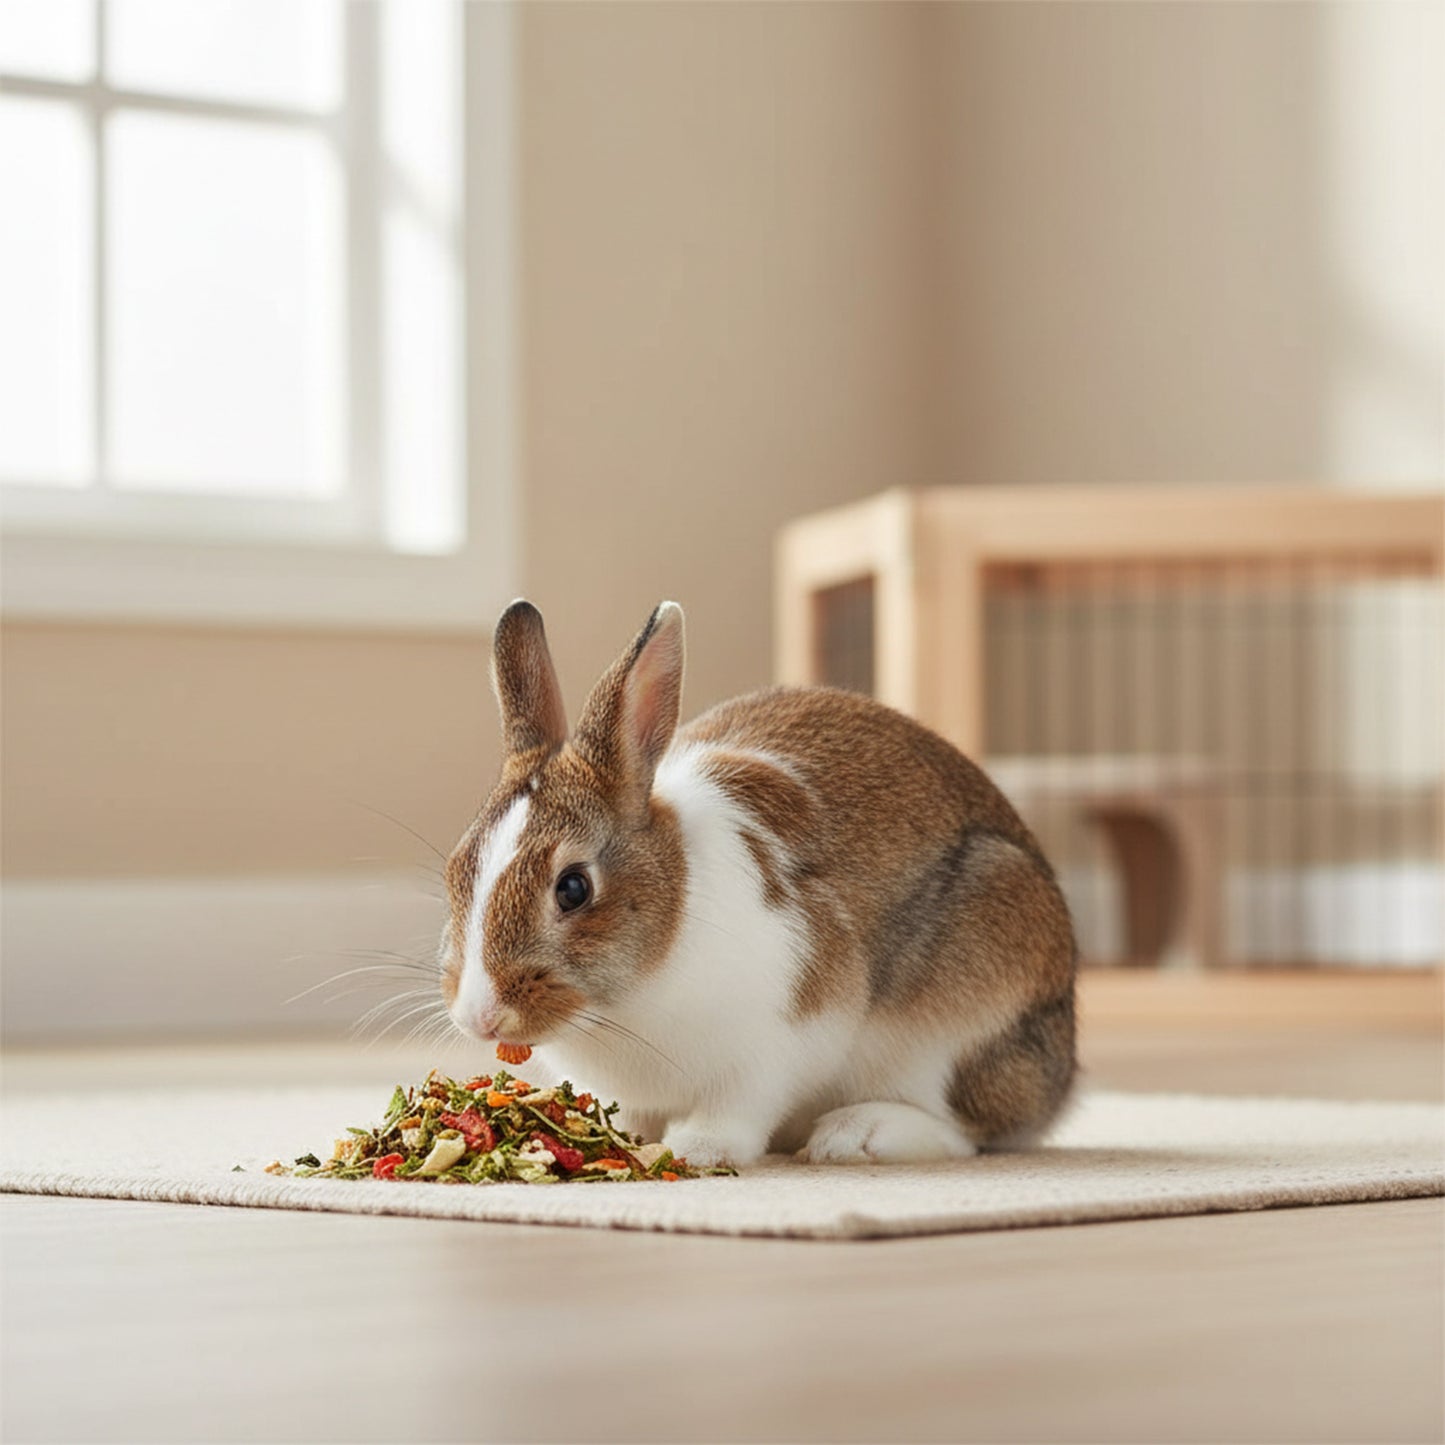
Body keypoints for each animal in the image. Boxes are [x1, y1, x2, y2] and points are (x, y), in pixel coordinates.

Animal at [439, 598, 1077, 1168]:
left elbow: (739, 1106)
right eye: (455, 871)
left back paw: (855, 1136)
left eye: (573, 888)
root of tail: (1060, 1075)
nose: (479, 1017)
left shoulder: (778, 1042)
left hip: (963, 1010)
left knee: (969, 1129)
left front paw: (694, 1148)